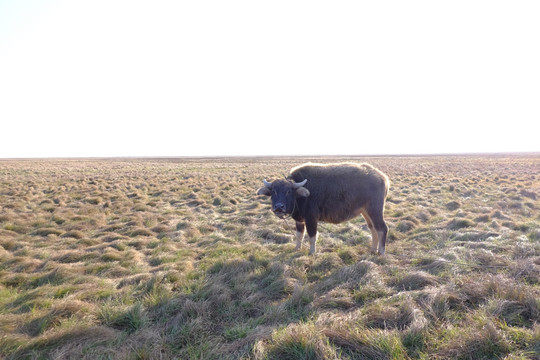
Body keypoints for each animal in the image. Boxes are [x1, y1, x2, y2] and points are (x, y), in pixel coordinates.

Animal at [255, 162, 390, 255]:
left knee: (382, 228)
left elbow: (312, 236)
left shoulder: (311, 218)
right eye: (273, 191)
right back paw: (373, 250)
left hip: (375, 210)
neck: (300, 197)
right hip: (366, 212)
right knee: (373, 229)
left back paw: (381, 252)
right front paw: (297, 249)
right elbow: (299, 235)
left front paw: (312, 252)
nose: (279, 207)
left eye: (288, 191)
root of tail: (383, 178)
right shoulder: (299, 220)